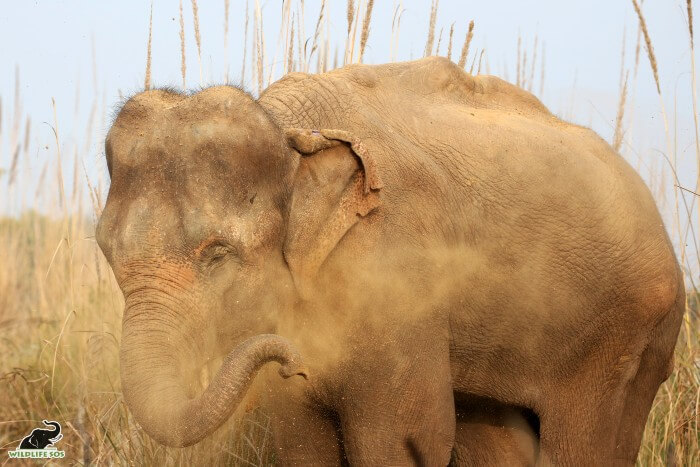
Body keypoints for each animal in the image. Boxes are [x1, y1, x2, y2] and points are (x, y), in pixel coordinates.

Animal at [97, 56, 684, 466]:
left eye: (218, 255)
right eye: (107, 251)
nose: (291, 360)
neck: (290, 132)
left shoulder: (398, 274)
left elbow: (404, 436)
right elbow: (301, 439)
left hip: (626, 336)